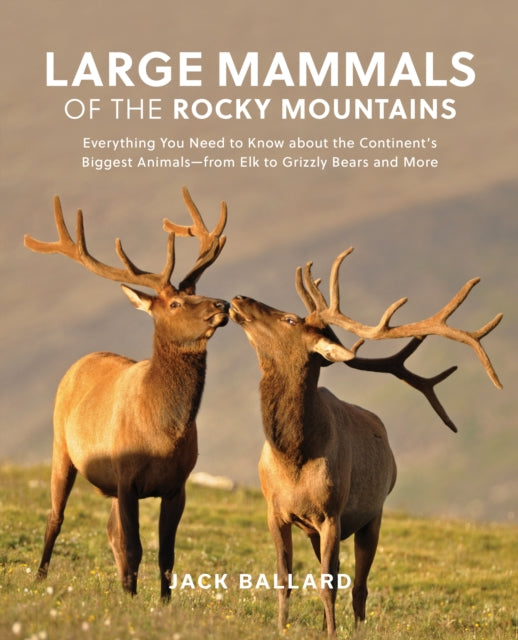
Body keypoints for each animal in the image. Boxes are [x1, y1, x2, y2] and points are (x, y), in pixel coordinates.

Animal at [23, 187, 229, 599]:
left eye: (197, 292)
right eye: (176, 303)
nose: (223, 304)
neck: (164, 434)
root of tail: (82, 360)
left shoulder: (177, 484)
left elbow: (166, 554)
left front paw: (162, 603)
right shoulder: (126, 476)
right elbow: (135, 546)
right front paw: (133, 600)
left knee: (110, 531)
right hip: (61, 446)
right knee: (56, 515)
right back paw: (40, 577)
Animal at [230, 247, 502, 637]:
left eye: (290, 320)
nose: (239, 298)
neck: (293, 458)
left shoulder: (332, 513)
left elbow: (328, 583)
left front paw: (331, 631)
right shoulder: (275, 511)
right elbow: (285, 579)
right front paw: (281, 627)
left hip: (373, 515)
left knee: (359, 585)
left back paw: (355, 627)